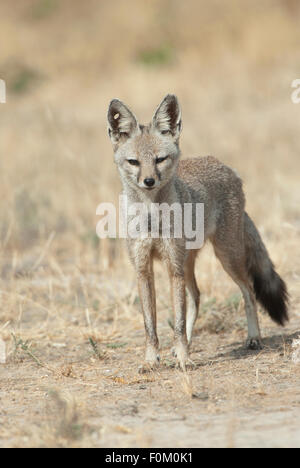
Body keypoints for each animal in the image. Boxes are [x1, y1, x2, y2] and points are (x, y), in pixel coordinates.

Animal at [106, 96, 290, 372]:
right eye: (134, 162)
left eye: (160, 159)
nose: (148, 181)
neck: (151, 217)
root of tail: (226, 167)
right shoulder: (143, 269)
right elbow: (151, 326)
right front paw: (151, 360)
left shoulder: (173, 267)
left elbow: (179, 323)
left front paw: (184, 359)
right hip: (188, 262)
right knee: (196, 297)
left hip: (226, 257)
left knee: (248, 291)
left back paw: (253, 338)